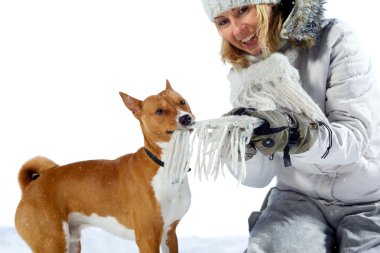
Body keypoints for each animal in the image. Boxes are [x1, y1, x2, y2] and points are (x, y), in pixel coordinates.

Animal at [15, 81, 194, 253]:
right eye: (159, 111)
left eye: (182, 102)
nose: (186, 118)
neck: (169, 167)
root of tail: (30, 187)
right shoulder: (148, 237)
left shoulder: (169, 233)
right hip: (52, 242)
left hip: (72, 242)